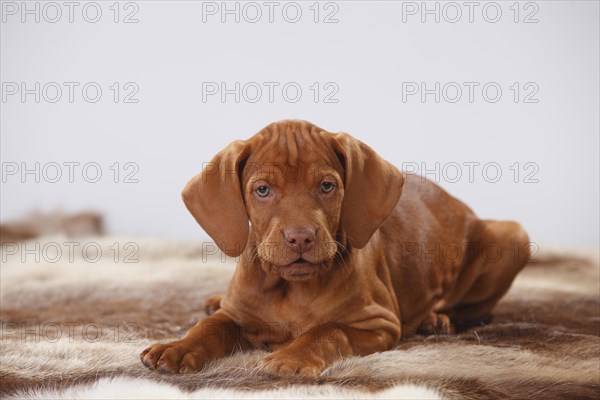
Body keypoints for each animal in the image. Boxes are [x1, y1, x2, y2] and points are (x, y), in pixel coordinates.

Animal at [141, 120, 528, 376]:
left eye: (327, 186)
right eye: (262, 190)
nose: (300, 237)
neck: (292, 288)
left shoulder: (380, 323)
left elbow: (328, 330)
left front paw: (289, 358)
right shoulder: (238, 314)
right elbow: (210, 327)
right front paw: (176, 348)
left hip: (513, 236)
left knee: (472, 308)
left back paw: (435, 319)